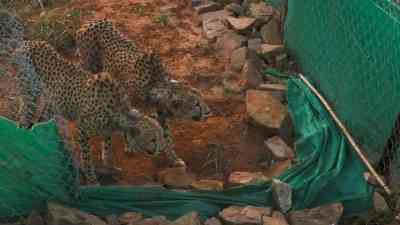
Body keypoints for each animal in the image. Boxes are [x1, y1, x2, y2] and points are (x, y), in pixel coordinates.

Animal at [12, 40, 166, 185]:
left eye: (160, 137)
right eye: (152, 139)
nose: (159, 149)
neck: (118, 112)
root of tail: (27, 43)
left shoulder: (107, 131)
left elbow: (107, 150)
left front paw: (110, 168)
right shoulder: (82, 130)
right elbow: (86, 159)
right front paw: (92, 180)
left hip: (52, 103)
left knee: (40, 119)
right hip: (31, 93)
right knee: (24, 117)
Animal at [76, 18, 211, 167]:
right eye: (196, 104)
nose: (208, 112)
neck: (155, 86)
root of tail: (92, 21)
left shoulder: (160, 113)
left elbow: (166, 137)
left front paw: (173, 159)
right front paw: (127, 147)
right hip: (90, 68)